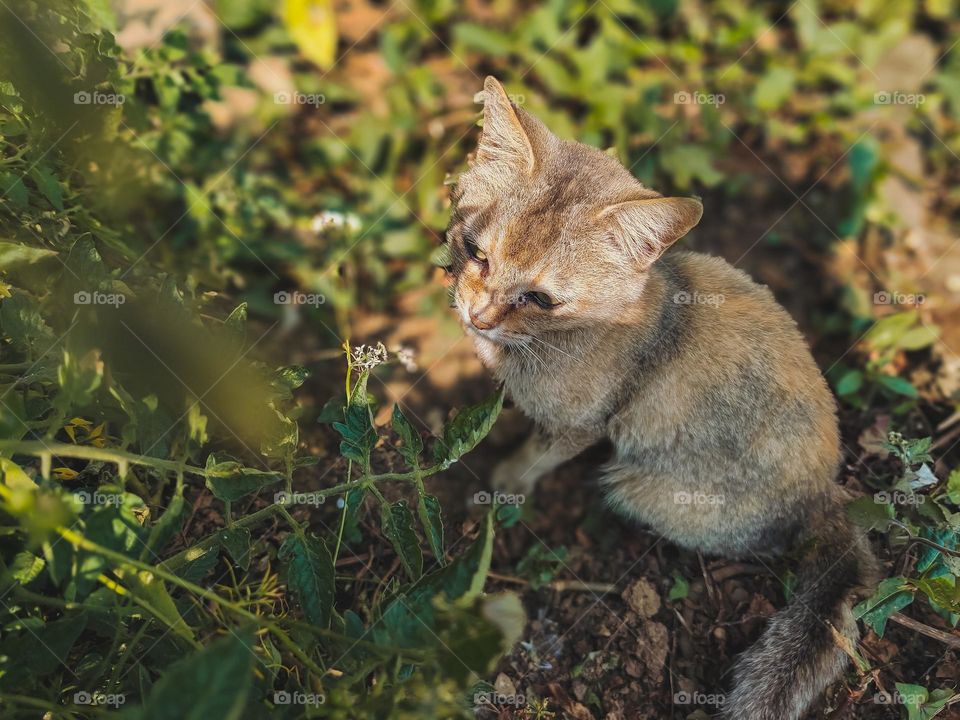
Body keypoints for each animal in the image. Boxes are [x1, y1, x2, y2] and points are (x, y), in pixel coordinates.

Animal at [446, 77, 880, 720]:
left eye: (542, 299)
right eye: (477, 251)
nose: (476, 316)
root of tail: (826, 491)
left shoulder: (581, 427)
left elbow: (531, 460)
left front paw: (502, 483)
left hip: (632, 485)